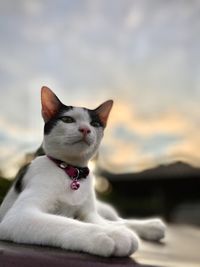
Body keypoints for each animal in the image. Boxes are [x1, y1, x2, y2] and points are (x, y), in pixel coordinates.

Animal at [0, 87, 166, 258]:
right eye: (67, 119)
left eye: (94, 124)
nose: (85, 129)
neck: (72, 172)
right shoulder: (20, 216)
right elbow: (67, 222)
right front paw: (111, 234)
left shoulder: (89, 213)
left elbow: (103, 222)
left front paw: (115, 230)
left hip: (102, 209)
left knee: (118, 219)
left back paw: (151, 226)